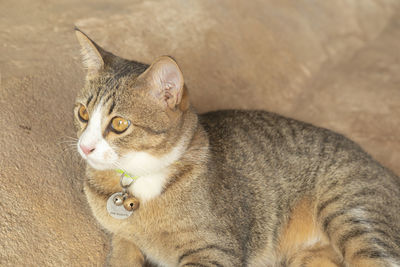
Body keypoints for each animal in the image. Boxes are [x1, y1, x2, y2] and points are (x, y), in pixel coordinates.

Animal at [72, 28, 400, 266]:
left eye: (119, 124)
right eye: (83, 113)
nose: (85, 148)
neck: (138, 179)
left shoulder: (215, 249)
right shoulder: (122, 240)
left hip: (351, 210)